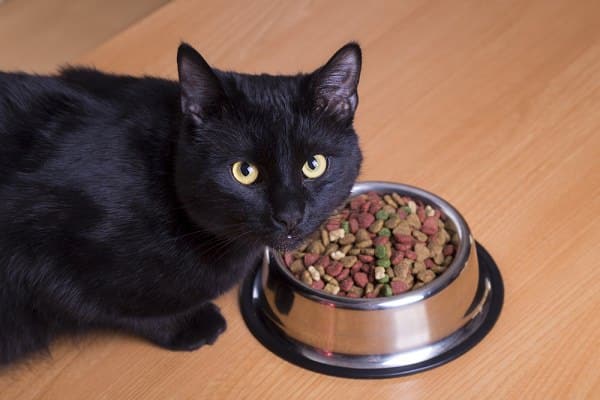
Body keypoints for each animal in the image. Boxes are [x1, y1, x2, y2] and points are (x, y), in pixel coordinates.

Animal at [0, 41, 364, 366]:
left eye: (314, 165)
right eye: (244, 171)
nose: (290, 215)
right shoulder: (40, 256)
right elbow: (114, 307)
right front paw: (191, 325)